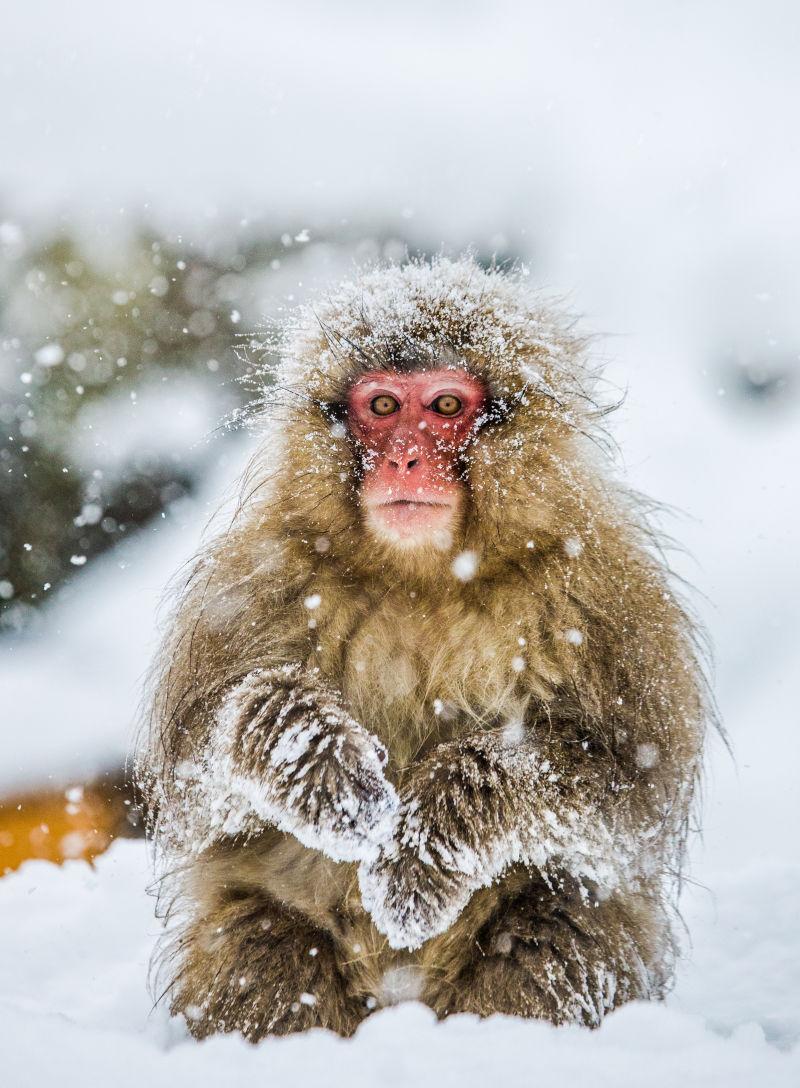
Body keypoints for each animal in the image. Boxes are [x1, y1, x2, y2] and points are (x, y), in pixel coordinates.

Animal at [136, 256, 705, 1044]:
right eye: (381, 406)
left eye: (443, 405)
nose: (405, 459)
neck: (424, 580)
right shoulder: (254, 582)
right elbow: (199, 776)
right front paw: (312, 755)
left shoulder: (604, 595)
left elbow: (626, 785)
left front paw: (431, 835)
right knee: (261, 945)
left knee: (560, 929)